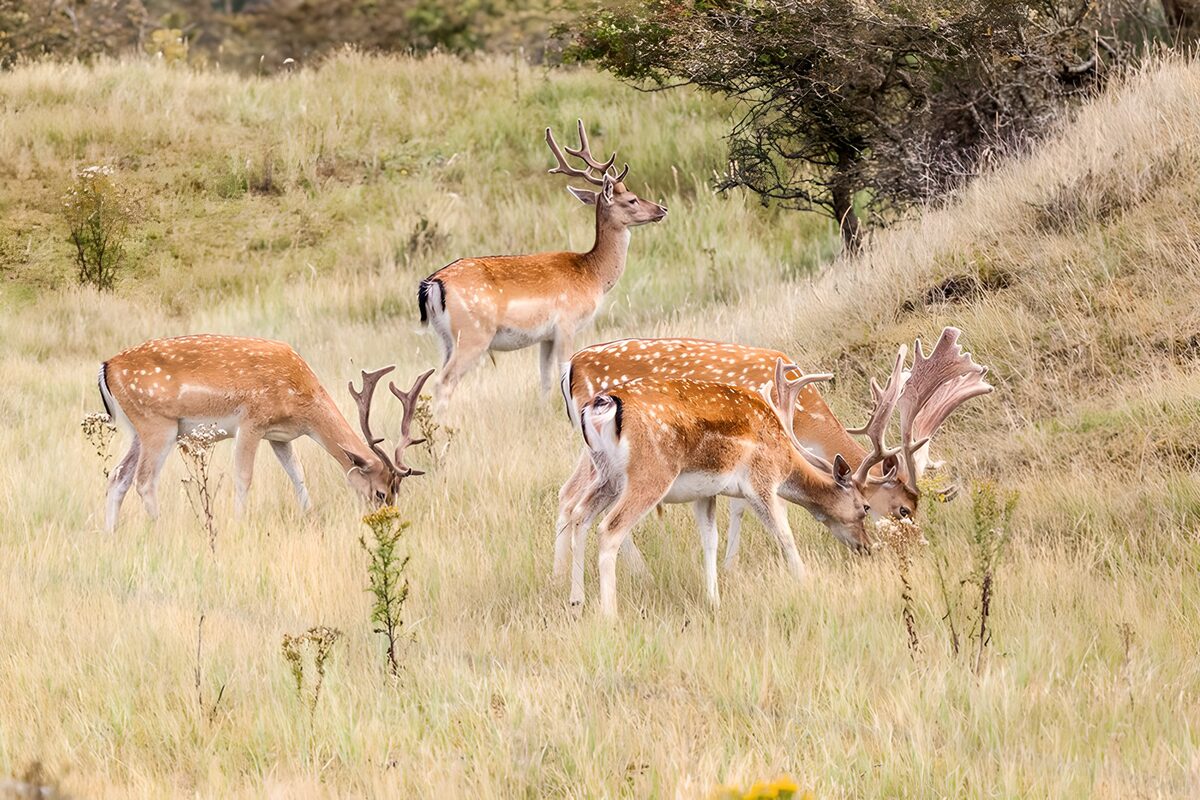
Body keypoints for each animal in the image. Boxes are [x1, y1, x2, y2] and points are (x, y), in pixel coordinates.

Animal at [97, 334, 433, 532]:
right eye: (380, 492)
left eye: (397, 492)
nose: (387, 521)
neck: (301, 399)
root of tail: (106, 367)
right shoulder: (251, 422)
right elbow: (244, 477)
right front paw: (238, 523)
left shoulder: (278, 436)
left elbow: (298, 475)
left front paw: (311, 518)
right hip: (158, 425)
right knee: (144, 481)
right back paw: (161, 529)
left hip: (137, 430)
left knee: (117, 476)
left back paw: (110, 534)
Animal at [417, 119, 667, 409]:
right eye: (632, 199)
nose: (662, 209)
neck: (593, 275)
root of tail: (433, 283)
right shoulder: (566, 324)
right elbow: (565, 375)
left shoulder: (545, 337)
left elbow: (546, 380)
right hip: (473, 334)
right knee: (443, 383)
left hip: (444, 338)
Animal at [555, 327, 991, 575]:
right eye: (902, 509)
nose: (918, 548)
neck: (805, 416)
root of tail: (569, 366)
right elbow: (746, 506)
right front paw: (731, 568)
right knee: (593, 508)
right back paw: (638, 573)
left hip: (593, 452)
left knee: (568, 496)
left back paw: (561, 581)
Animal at [561, 361, 872, 617]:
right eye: (865, 507)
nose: (867, 547)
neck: (785, 459)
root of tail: (601, 406)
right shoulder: (761, 482)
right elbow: (784, 534)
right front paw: (805, 581)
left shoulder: (705, 493)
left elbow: (710, 540)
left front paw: (714, 600)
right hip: (650, 474)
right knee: (609, 528)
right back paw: (609, 615)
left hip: (607, 476)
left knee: (580, 513)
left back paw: (576, 602)